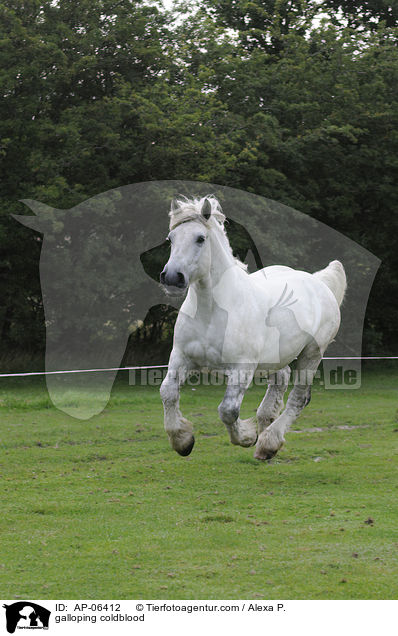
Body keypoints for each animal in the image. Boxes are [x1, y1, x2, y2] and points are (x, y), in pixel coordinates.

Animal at [159, 196, 346, 460]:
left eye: (200, 238)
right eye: (171, 239)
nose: (172, 277)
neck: (212, 311)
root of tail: (318, 282)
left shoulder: (242, 368)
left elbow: (228, 410)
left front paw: (247, 436)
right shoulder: (181, 357)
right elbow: (168, 392)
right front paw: (183, 441)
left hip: (311, 354)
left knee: (299, 398)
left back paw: (268, 443)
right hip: (277, 358)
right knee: (280, 382)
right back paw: (266, 430)